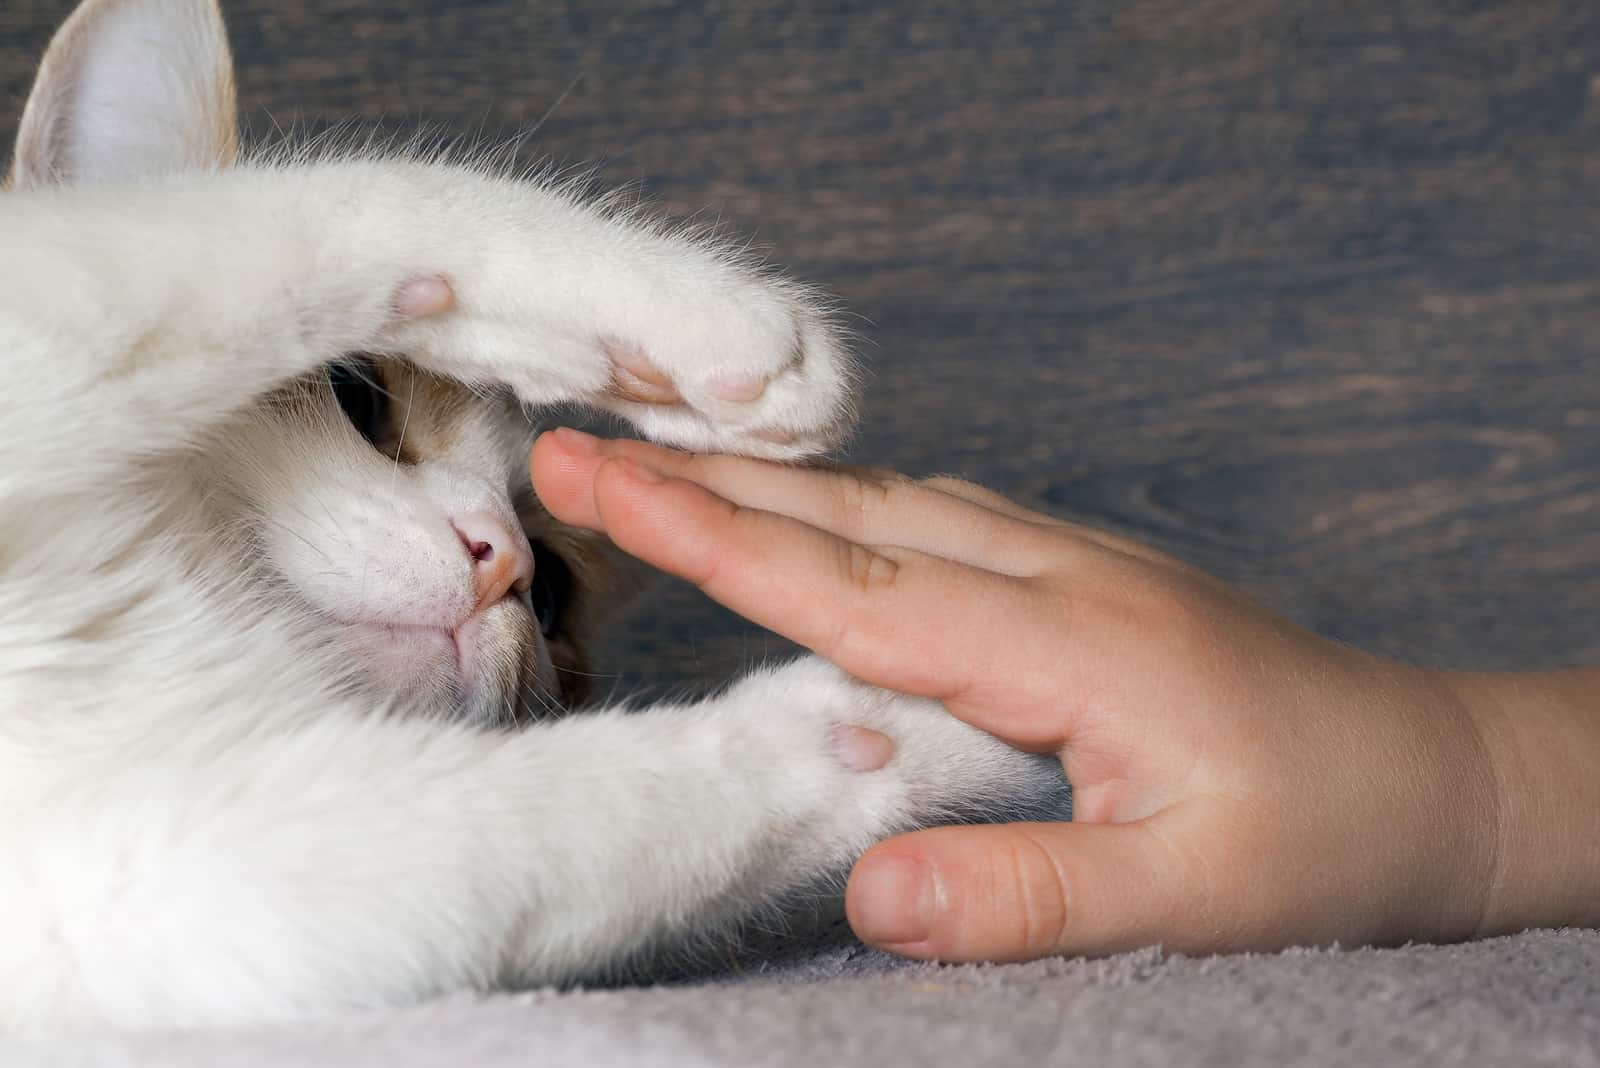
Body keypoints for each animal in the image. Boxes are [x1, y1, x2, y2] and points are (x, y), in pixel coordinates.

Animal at [3, 0, 1062, 1036]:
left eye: (548, 593)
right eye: (357, 394)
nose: (501, 562)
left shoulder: (166, 881)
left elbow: (601, 812)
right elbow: (351, 201)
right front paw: (699, 311)